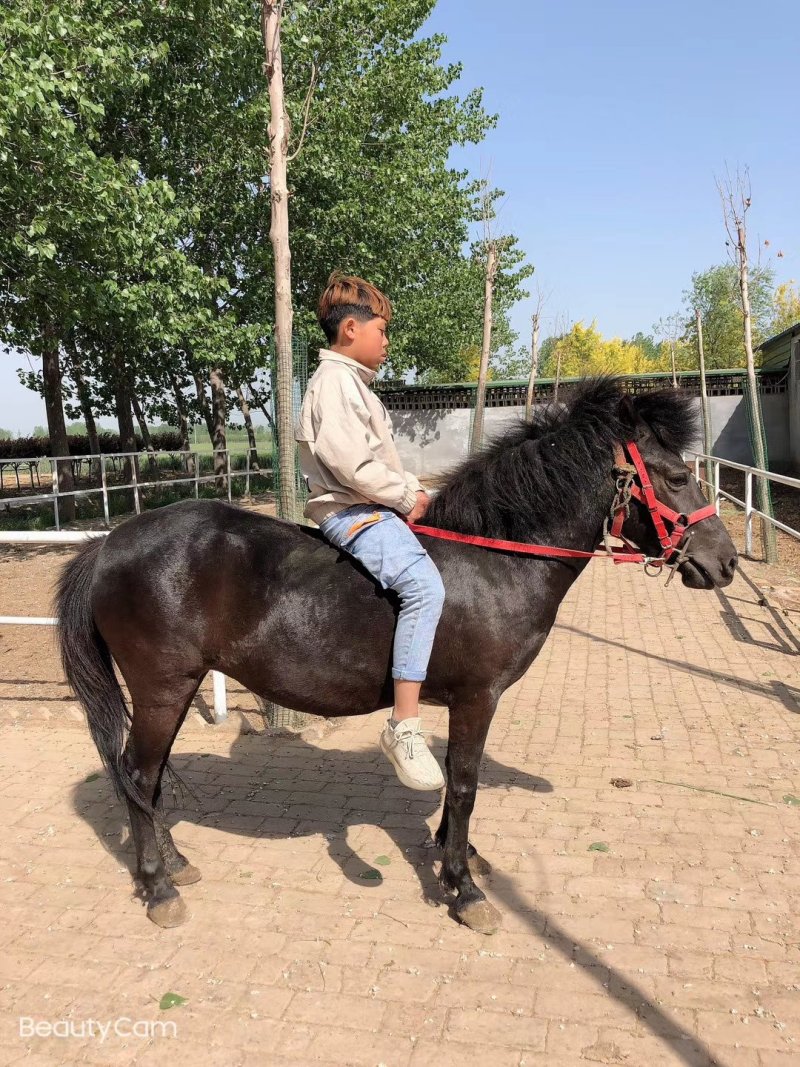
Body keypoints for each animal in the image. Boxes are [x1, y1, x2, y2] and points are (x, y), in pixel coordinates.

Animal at [56, 379, 737, 933]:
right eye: (676, 477)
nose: (725, 561)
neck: (495, 558)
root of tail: (109, 544)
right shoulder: (477, 698)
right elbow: (463, 785)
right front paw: (463, 888)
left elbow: (460, 782)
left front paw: (456, 855)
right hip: (163, 687)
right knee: (137, 774)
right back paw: (159, 887)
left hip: (173, 690)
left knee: (147, 779)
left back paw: (174, 863)